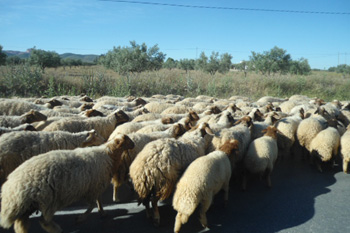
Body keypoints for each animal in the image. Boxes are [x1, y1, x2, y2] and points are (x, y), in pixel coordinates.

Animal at [0, 134, 134, 233]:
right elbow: (92, 205)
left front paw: (102, 212)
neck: (109, 155)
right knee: (44, 221)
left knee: (21, 225)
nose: (133, 144)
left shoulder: (95, 186)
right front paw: (80, 218)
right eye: (127, 139)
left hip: (28, 206)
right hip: (48, 200)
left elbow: (98, 201)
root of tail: (10, 189)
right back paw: (57, 229)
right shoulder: (93, 187)